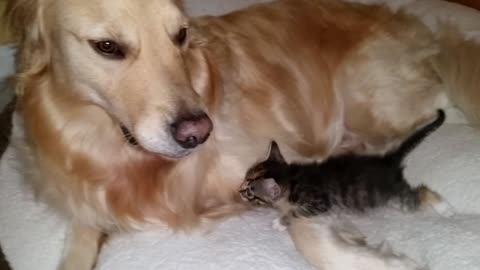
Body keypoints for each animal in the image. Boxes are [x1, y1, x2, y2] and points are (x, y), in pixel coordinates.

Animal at [242, 109, 452, 226]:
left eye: (251, 193)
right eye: (245, 177)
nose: (239, 190)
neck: (292, 178)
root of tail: (387, 160)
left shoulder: (319, 203)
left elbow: (297, 212)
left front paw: (281, 221)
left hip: (395, 196)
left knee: (421, 191)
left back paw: (444, 208)